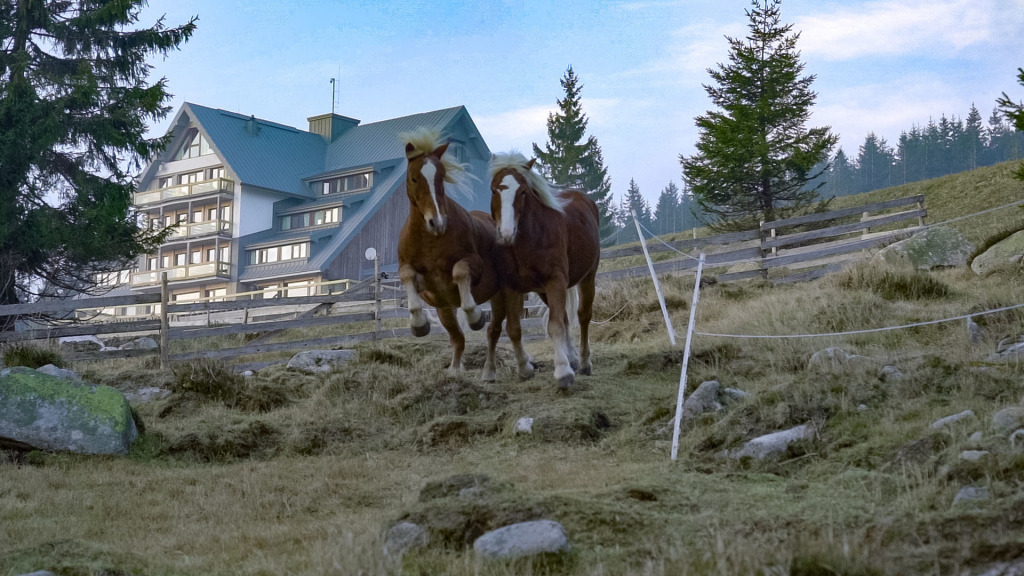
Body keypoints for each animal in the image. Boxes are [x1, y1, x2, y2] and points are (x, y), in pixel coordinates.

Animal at [395, 129, 532, 377]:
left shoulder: (473, 265)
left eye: (441, 177)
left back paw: (503, 368)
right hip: (446, 309)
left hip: (504, 295)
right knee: (459, 338)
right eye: (414, 178)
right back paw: (458, 370)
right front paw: (419, 325)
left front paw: (475, 317)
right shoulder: (428, 288)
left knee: (499, 329)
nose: (437, 222)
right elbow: (408, 277)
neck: (432, 240)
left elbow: (460, 273)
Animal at [487, 150, 598, 387]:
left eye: (523, 192)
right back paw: (573, 358)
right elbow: (514, 328)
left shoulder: (555, 281)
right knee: (565, 318)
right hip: (544, 291)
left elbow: (555, 325)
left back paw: (584, 363)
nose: (506, 234)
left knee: (583, 316)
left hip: (587, 277)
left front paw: (563, 372)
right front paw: (524, 369)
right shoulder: (512, 287)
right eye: (493, 189)